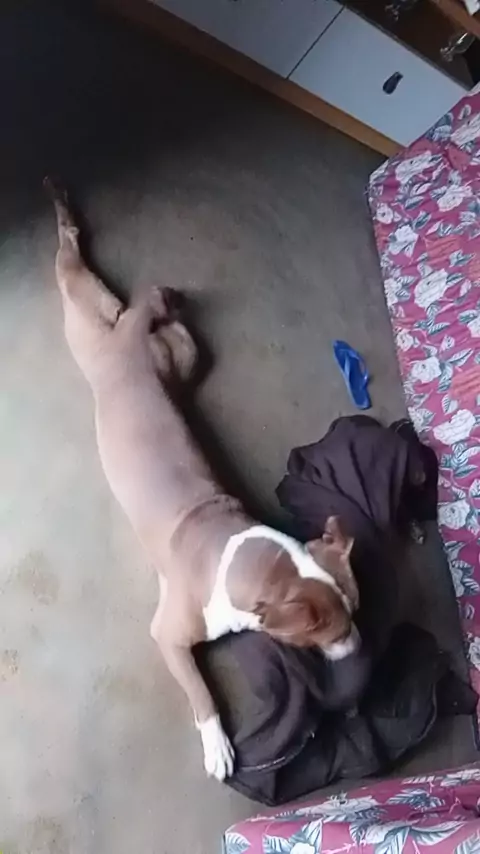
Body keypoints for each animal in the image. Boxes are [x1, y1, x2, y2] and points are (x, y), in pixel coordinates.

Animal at [45, 179, 360, 781]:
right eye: (328, 631)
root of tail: (126, 339)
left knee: (148, 314)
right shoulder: (168, 636)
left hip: (164, 351)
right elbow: (200, 691)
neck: (242, 559)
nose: (356, 649)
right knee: (72, 269)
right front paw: (216, 745)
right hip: (88, 335)